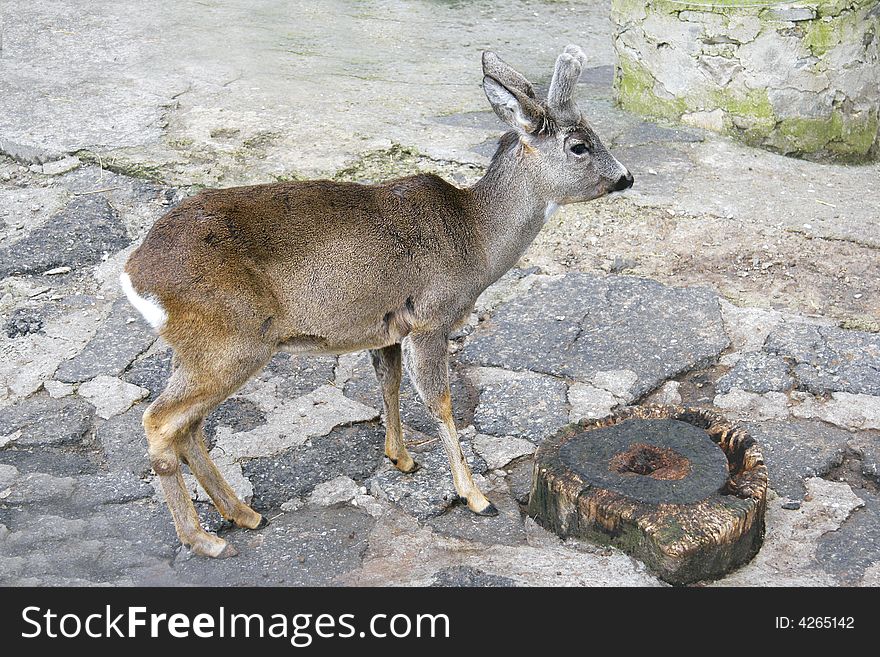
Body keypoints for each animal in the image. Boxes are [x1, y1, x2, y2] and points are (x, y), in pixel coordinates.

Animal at [122, 46, 632, 556]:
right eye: (579, 145)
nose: (626, 177)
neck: (474, 240)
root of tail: (135, 274)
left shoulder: (386, 325)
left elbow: (389, 385)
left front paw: (401, 458)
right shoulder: (430, 317)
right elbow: (439, 401)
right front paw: (475, 496)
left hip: (197, 349)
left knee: (189, 426)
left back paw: (244, 514)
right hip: (231, 344)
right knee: (159, 421)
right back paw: (204, 538)